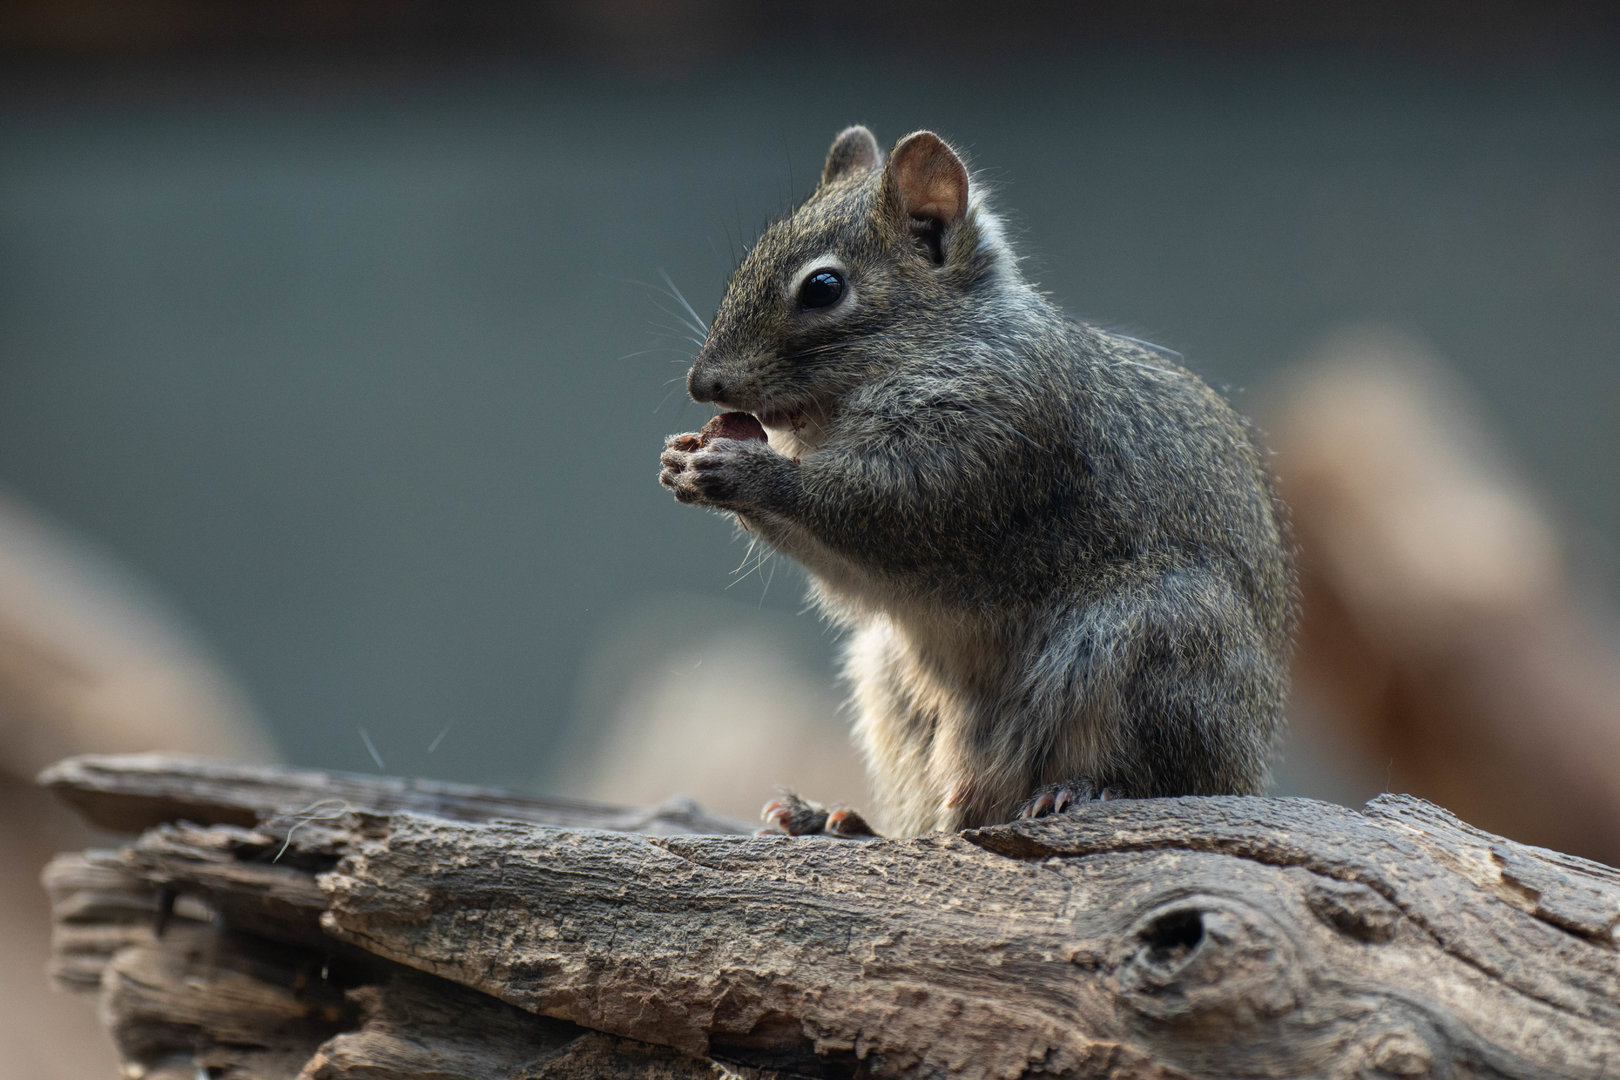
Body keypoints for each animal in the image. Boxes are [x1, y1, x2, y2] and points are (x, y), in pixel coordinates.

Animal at [659, 126, 1296, 837]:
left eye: (823, 287)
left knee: (1167, 778)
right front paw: (683, 460)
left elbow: (876, 511)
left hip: (1155, 640)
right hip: (894, 685)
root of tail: (1248, 773)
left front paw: (740, 471)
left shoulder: (989, 446)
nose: (702, 384)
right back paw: (838, 821)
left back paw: (1086, 790)